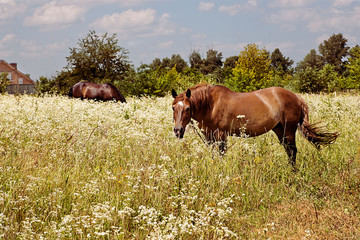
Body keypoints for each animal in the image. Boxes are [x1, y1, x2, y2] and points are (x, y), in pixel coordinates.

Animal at [172, 83, 338, 166]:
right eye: (173, 107)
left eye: (187, 108)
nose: (178, 130)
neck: (211, 104)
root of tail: (297, 98)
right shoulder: (209, 135)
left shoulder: (221, 135)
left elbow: (221, 154)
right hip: (279, 130)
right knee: (288, 150)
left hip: (289, 130)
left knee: (292, 151)